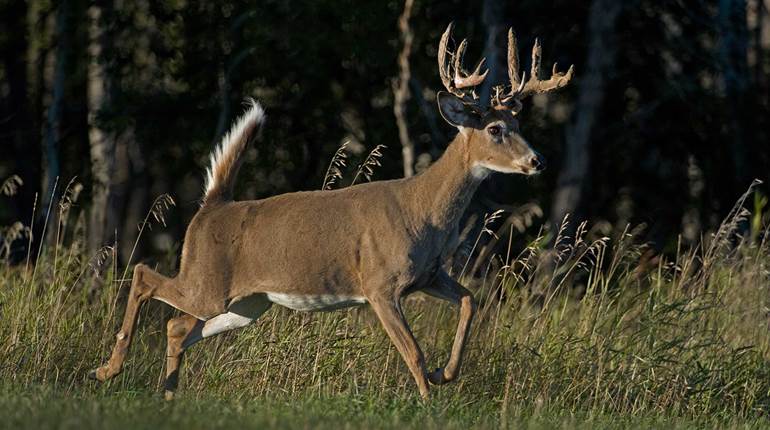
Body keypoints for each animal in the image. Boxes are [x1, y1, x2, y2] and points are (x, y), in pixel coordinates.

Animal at [90, 23, 573, 401]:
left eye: (519, 124)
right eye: (495, 129)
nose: (538, 161)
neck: (424, 213)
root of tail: (213, 206)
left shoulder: (428, 276)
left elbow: (470, 301)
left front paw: (446, 374)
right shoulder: (380, 283)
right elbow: (413, 351)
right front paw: (428, 400)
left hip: (246, 303)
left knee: (175, 325)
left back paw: (168, 393)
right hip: (206, 282)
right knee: (144, 276)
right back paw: (108, 370)